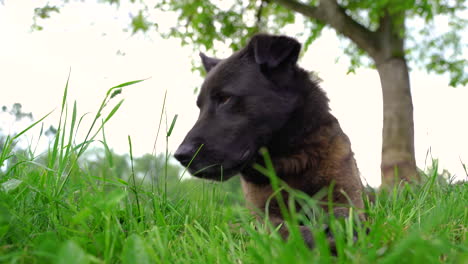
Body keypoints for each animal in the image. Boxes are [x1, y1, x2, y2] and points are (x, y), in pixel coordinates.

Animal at [174, 33, 364, 248]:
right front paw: (320, 237)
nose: (180, 155)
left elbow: (345, 213)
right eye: (200, 106)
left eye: (225, 98)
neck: (293, 161)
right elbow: (285, 230)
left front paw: (341, 230)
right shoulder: (262, 215)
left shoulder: (346, 195)